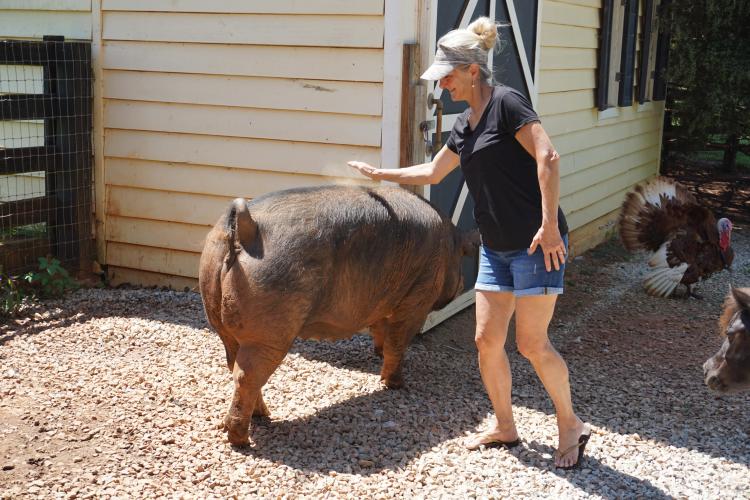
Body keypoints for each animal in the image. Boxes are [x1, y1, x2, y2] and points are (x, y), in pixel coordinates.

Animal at [199, 185, 478, 446]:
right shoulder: (418, 297)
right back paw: (242, 440)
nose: (465, 283)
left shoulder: (380, 299)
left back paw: (262, 416)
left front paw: (378, 353)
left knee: (234, 365)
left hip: (217, 311)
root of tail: (247, 226)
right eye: (462, 259)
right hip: (269, 329)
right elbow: (398, 341)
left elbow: (380, 329)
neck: (449, 245)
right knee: (246, 376)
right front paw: (396, 384)